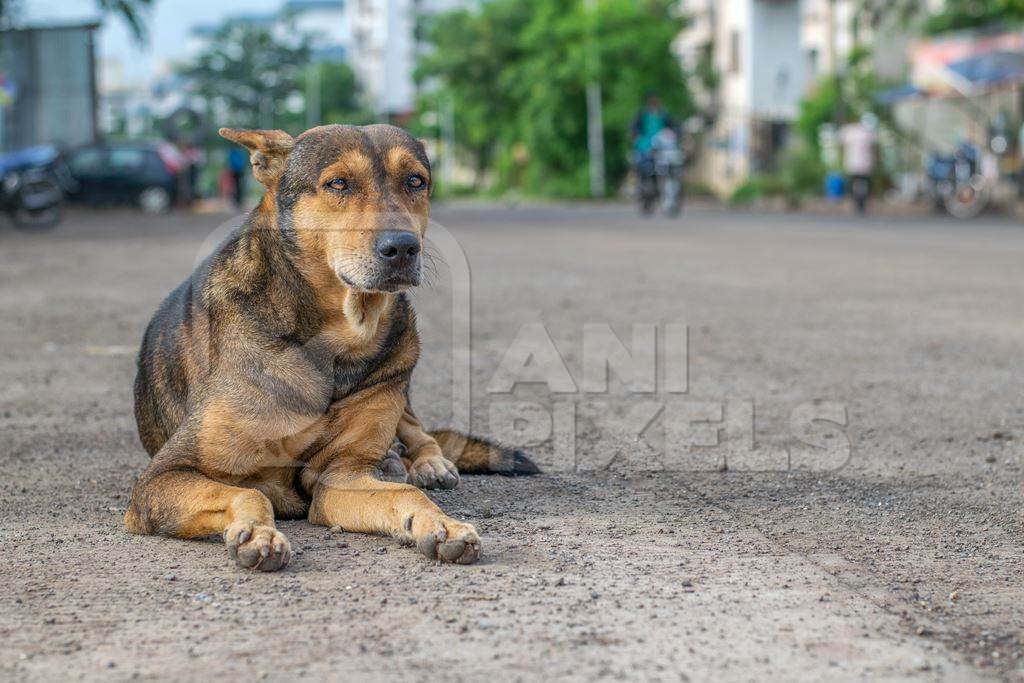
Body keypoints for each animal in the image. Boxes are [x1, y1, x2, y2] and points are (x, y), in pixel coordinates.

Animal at [125, 124, 536, 573]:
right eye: (338, 183)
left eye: (415, 181)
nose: (402, 248)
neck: (337, 341)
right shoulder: (163, 476)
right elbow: (251, 492)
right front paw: (257, 531)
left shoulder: (341, 475)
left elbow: (406, 494)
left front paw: (440, 524)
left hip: (401, 373)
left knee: (418, 430)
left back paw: (426, 462)